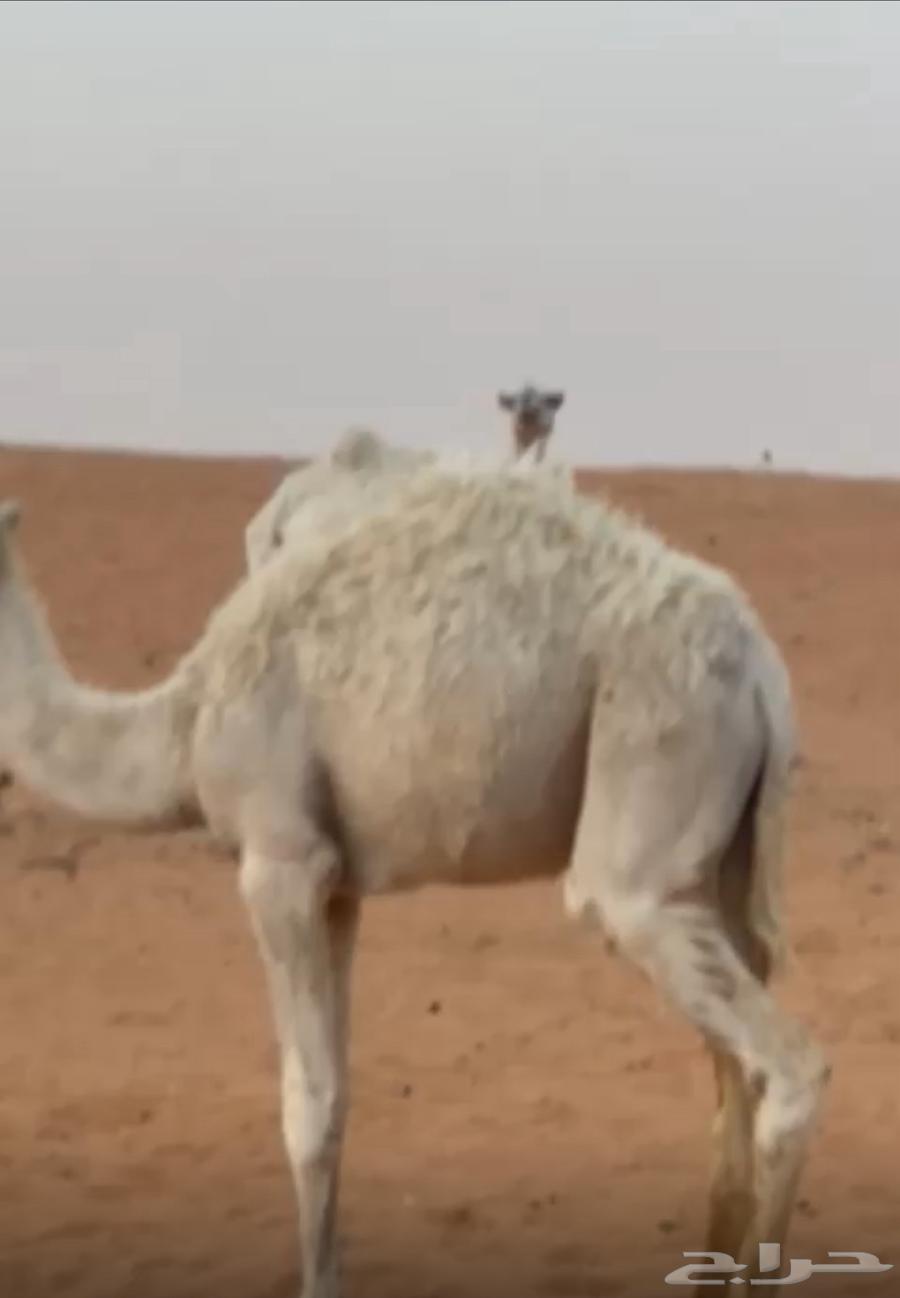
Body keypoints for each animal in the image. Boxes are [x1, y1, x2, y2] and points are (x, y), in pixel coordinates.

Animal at [0, 450, 827, 1298]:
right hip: (718, 858)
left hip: (650, 796)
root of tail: (762, 669)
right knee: (735, 1067)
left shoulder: (280, 861)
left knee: (783, 1062)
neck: (183, 723)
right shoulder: (336, 884)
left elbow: (305, 1107)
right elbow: (336, 1098)